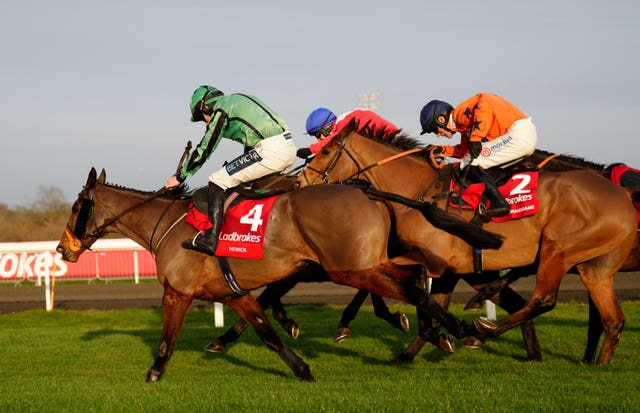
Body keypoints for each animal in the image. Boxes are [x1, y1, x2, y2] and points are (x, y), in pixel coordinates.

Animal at [57, 166, 502, 382]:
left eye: (77, 206)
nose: (62, 249)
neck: (166, 224)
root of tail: (365, 188)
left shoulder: (178, 292)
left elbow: (168, 337)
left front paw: (153, 373)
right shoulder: (235, 294)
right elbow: (268, 335)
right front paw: (302, 370)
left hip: (350, 267)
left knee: (414, 284)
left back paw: (460, 327)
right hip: (365, 263)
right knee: (419, 273)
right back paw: (453, 326)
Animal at [296, 125, 636, 364]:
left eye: (326, 152)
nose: (299, 183)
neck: (420, 193)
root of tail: (622, 197)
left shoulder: (434, 260)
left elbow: (408, 290)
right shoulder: (446, 268)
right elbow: (427, 302)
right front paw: (412, 350)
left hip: (558, 249)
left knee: (544, 300)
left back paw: (486, 328)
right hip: (595, 267)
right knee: (612, 319)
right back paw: (597, 363)